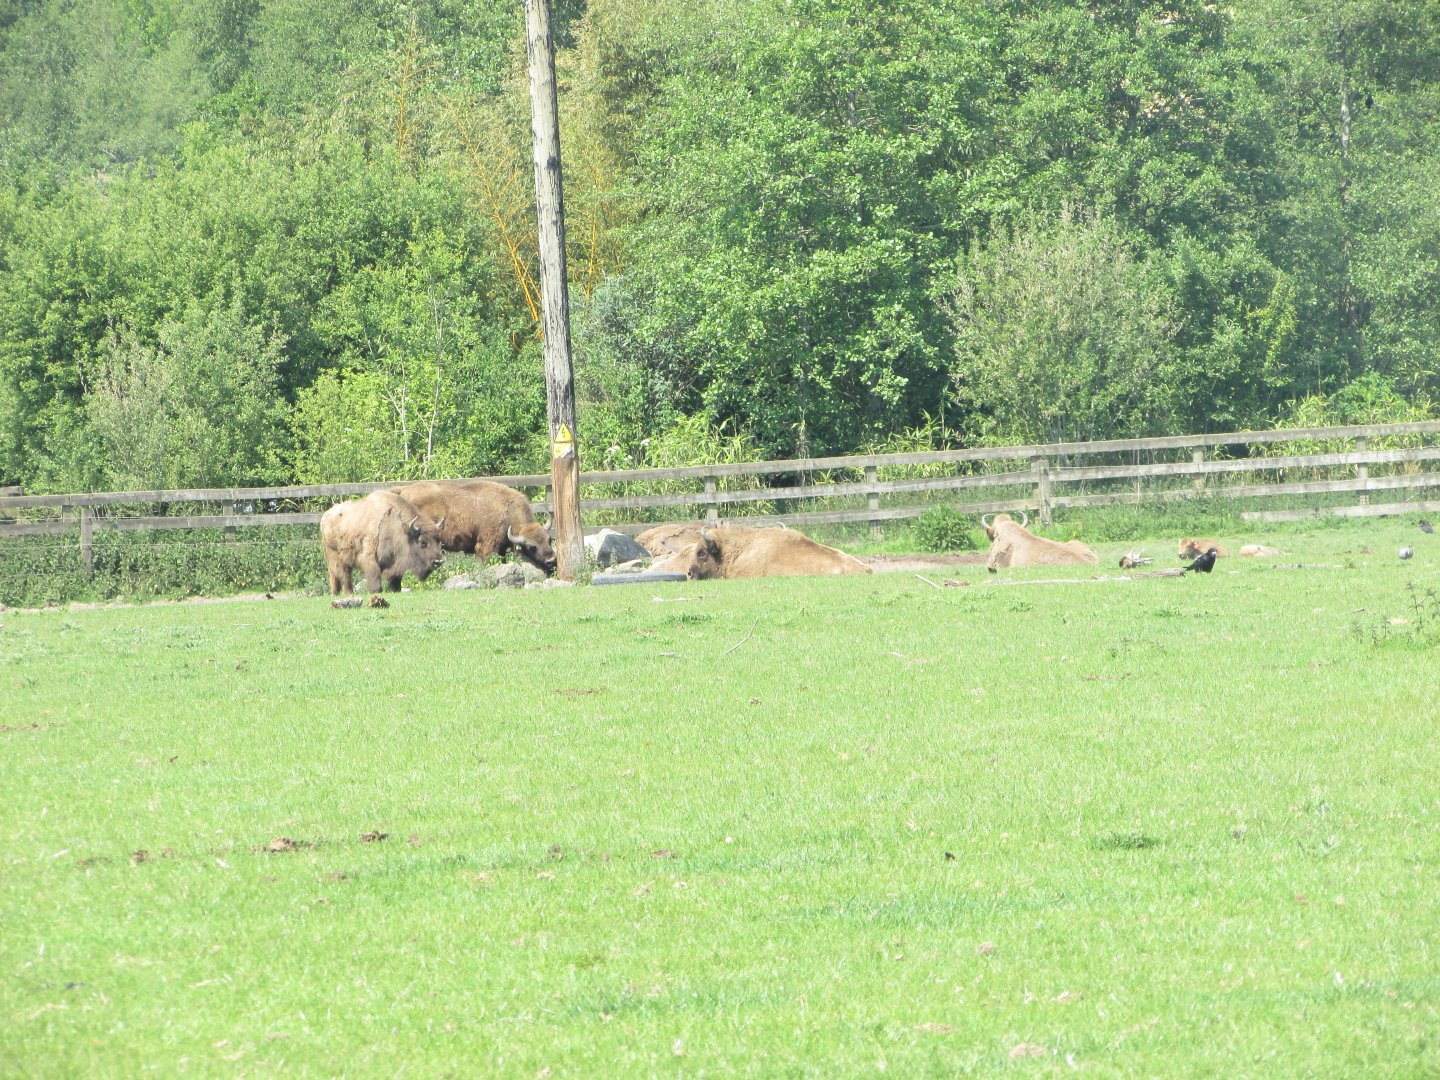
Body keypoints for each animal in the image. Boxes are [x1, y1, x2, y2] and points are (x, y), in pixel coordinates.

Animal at [393, 480, 556, 574]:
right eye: (531, 547)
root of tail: (402, 491)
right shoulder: (487, 546)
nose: (551, 560)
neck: (507, 511)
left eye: (549, 540)